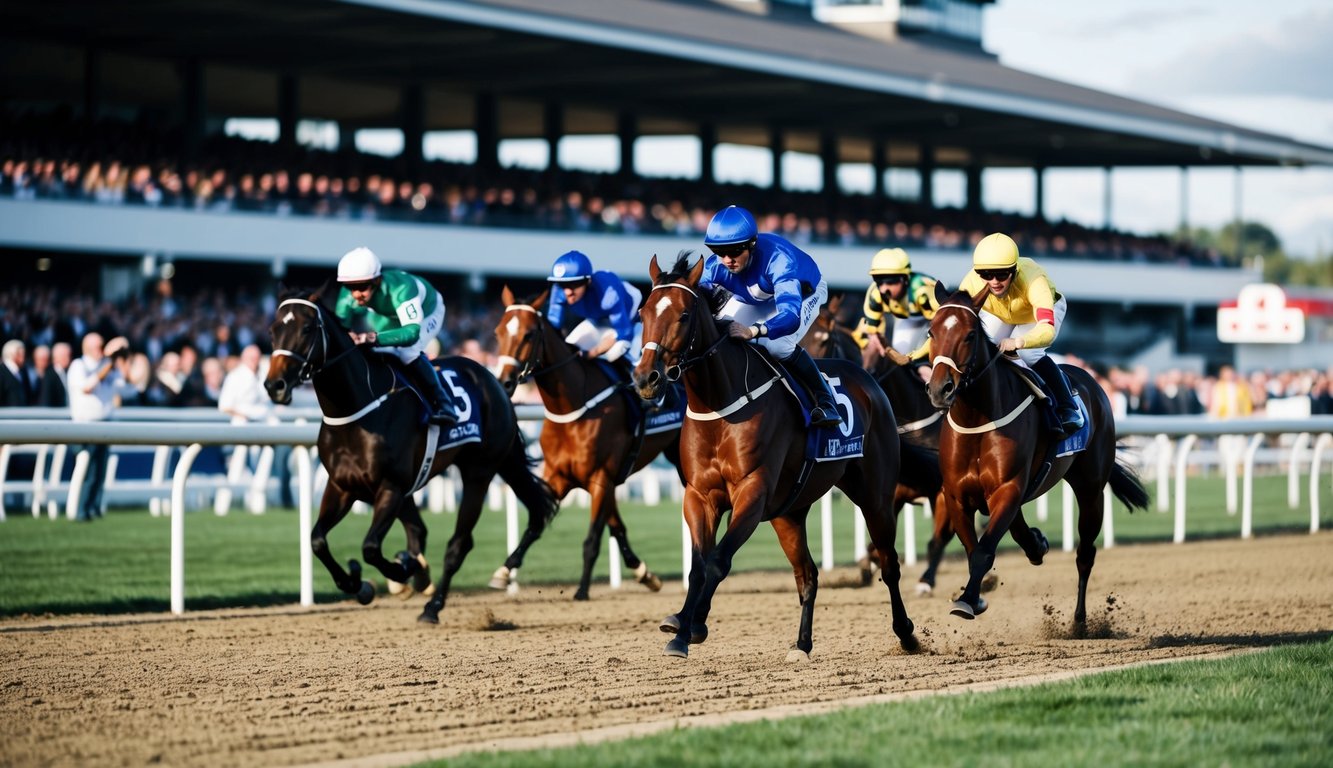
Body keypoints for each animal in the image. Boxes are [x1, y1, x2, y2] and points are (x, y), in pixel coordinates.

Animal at [265, 285, 557, 626]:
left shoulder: (390, 487)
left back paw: (433, 606)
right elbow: (317, 540)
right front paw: (359, 583)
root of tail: (494, 381)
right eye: (273, 330)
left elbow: (370, 548)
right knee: (424, 530)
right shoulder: (341, 486)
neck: (357, 410)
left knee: (459, 543)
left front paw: (399, 571)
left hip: (480, 470)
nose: (274, 385)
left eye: (307, 328)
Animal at [490, 286, 682, 600]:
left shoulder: (600, 478)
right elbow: (539, 521)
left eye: (529, 334)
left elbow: (592, 538)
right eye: (497, 332)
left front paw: (581, 589)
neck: (573, 407)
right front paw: (504, 571)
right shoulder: (558, 476)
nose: (504, 382)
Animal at [629, 253, 911, 661]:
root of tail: (870, 381)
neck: (720, 404)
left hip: (875, 496)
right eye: (643, 311)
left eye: (683, 315)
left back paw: (906, 633)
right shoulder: (700, 494)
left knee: (888, 563)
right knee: (807, 575)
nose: (646, 378)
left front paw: (689, 630)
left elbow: (717, 561)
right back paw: (802, 644)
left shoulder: (753, 491)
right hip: (789, 513)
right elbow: (699, 564)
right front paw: (682, 622)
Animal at [922, 285, 1151, 626]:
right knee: (1021, 530)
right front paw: (974, 596)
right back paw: (1037, 544)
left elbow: (983, 552)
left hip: (1090, 490)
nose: (940, 389)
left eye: (970, 335)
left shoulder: (1008, 488)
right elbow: (974, 547)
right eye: (931, 331)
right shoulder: (957, 496)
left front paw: (967, 601)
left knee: (1085, 554)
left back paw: (1079, 620)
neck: (977, 420)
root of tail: (1093, 382)